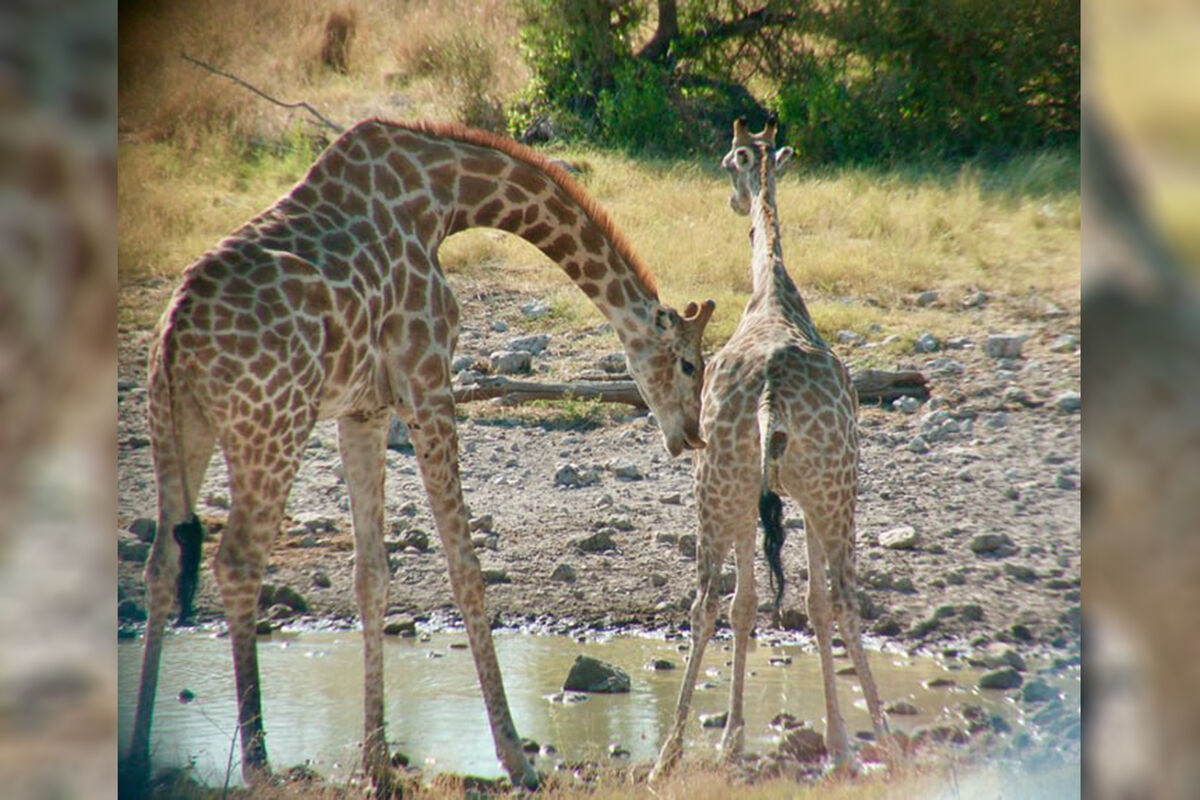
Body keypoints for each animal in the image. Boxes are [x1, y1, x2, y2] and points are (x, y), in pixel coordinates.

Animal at [121, 118, 710, 796]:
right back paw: (261, 763)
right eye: (689, 364)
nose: (691, 434)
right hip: (271, 424)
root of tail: (175, 333)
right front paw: (517, 759)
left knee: (162, 563)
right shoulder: (427, 379)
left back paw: (138, 757)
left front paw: (378, 761)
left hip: (176, 427)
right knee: (238, 561)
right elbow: (465, 567)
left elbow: (372, 574)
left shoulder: (365, 408)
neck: (444, 197)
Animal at [652, 118, 897, 782]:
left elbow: (758, 605)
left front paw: (735, 738)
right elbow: (795, 604)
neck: (773, 294)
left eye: (724, 162)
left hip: (724, 487)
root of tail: (769, 399)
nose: (735, 202)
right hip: (829, 491)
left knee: (707, 603)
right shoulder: (793, 498)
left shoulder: (766, 497)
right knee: (840, 598)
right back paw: (881, 742)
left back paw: (668, 754)